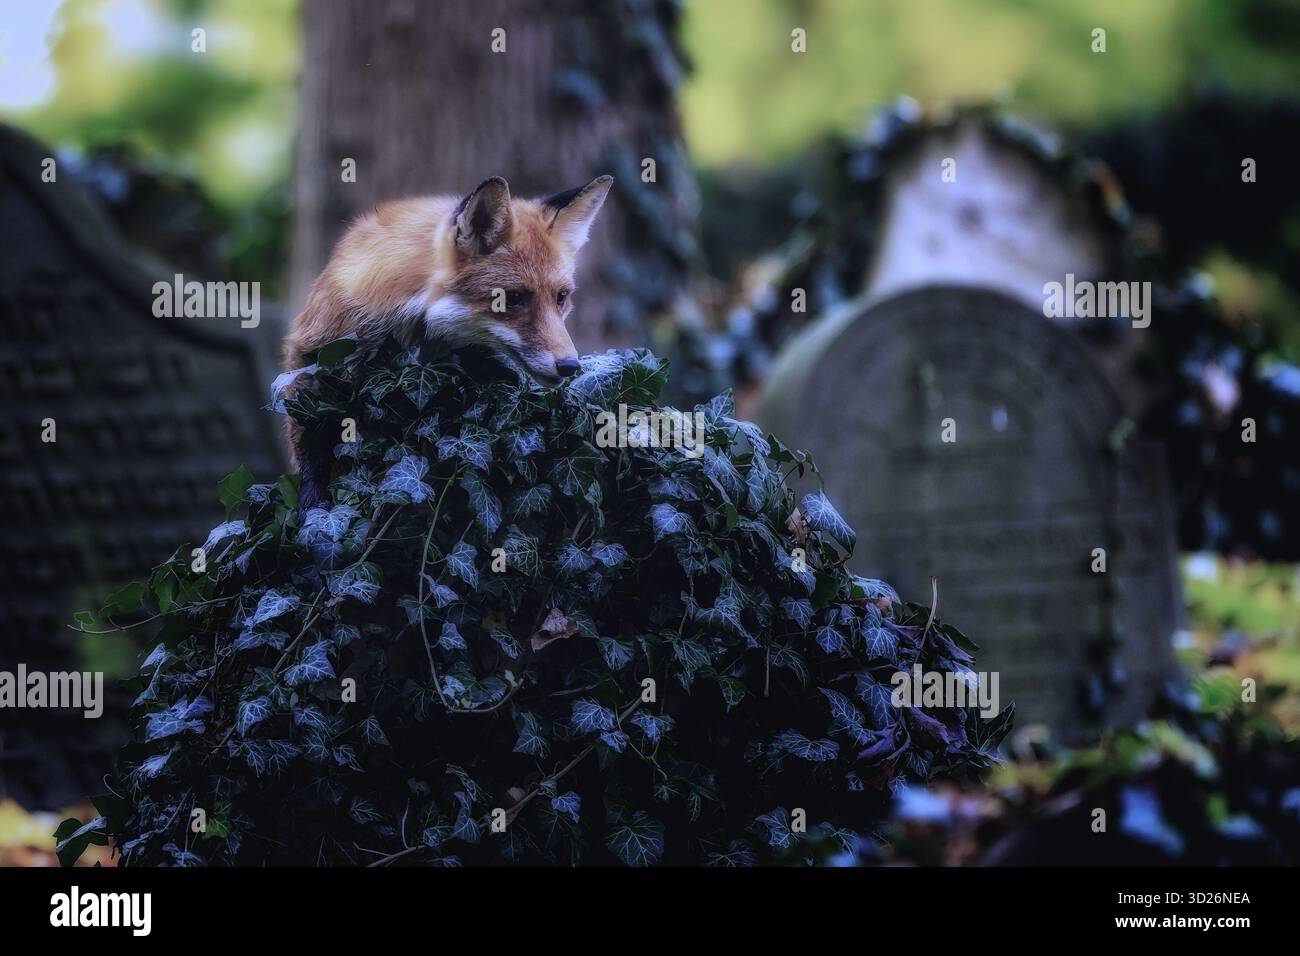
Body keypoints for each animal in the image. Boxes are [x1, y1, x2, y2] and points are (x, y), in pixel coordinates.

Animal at [282, 174, 613, 510]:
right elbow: (309, 436)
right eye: (513, 298)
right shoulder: (314, 354)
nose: (570, 366)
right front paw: (312, 503)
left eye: (561, 297)